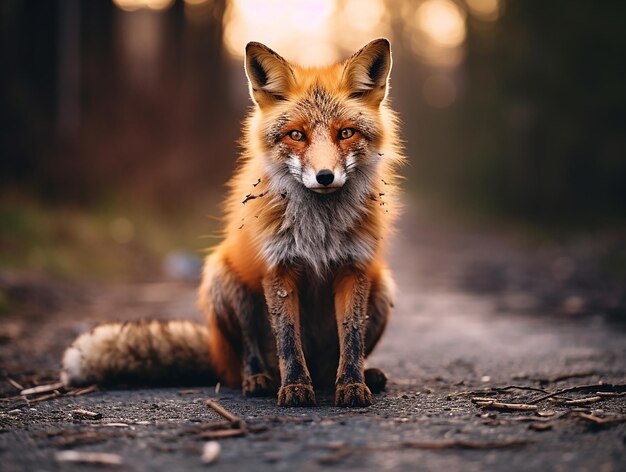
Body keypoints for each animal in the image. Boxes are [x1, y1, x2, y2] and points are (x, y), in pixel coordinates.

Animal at [61, 38, 404, 408]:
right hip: (221, 281)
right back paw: (257, 380)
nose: (324, 176)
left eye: (346, 133)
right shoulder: (278, 270)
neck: (319, 232)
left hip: (383, 286)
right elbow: (288, 341)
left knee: (332, 365)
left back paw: (360, 376)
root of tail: (216, 355)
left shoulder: (354, 268)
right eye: (296, 135)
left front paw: (352, 384)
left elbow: (352, 337)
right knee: (248, 356)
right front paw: (295, 388)